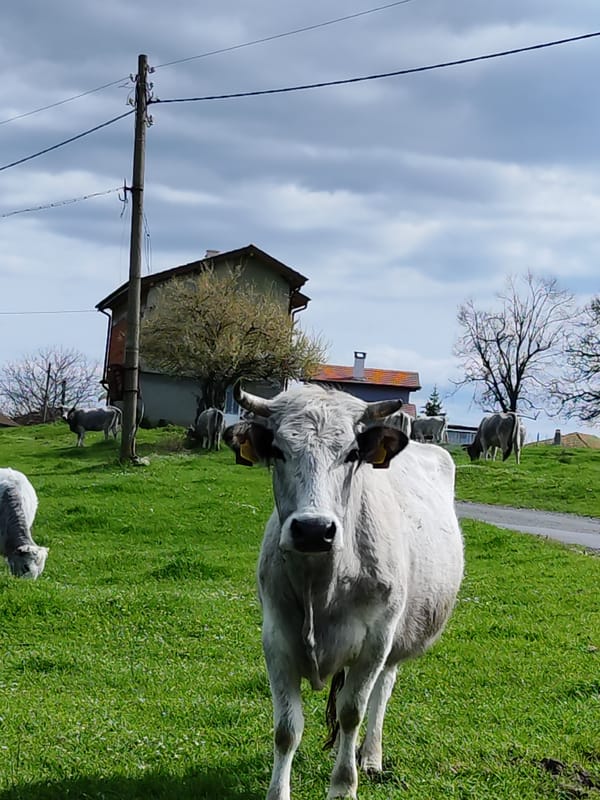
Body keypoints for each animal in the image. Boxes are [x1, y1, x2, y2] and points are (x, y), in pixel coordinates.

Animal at [224, 384, 464, 800]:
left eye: (352, 454)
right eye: (279, 450)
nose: (313, 530)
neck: (322, 584)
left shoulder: (376, 641)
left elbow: (352, 711)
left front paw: (342, 786)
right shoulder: (276, 639)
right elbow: (286, 729)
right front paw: (278, 791)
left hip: (395, 639)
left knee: (381, 693)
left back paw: (369, 757)